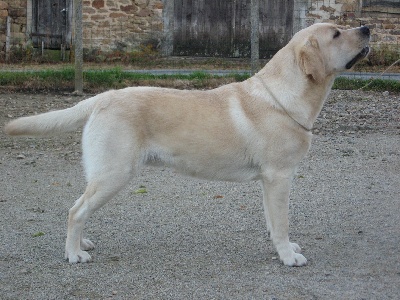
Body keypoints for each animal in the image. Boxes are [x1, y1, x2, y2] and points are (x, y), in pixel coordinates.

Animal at [4, 24, 370, 268]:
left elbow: (272, 221)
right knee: (75, 210)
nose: (366, 28)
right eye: (336, 34)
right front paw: (288, 256)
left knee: (81, 209)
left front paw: (284, 248)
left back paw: (82, 244)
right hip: (114, 174)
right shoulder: (279, 176)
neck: (283, 98)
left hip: (104, 175)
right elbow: (281, 223)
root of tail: (102, 97)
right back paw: (73, 254)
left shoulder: (269, 181)